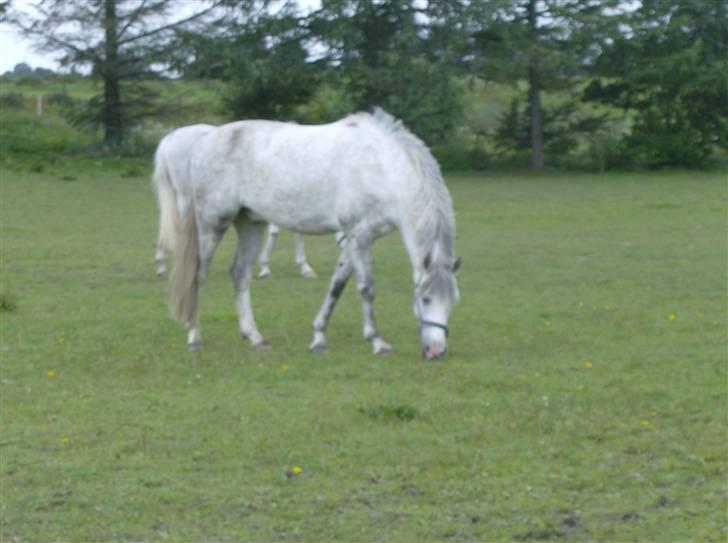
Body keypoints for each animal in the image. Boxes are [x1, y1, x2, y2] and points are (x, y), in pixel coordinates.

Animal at [153, 108, 460, 360]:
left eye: (453, 301)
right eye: (425, 299)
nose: (436, 351)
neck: (381, 168)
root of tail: (204, 142)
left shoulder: (352, 240)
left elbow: (337, 286)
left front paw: (319, 337)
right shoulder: (359, 236)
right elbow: (366, 289)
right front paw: (377, 342)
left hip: (251, 223)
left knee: (240, 274)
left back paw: (255, 337)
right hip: (212, 224)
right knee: (198, 276)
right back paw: (194, 337)